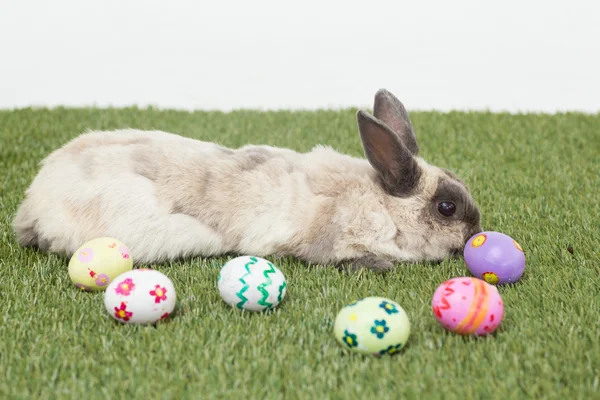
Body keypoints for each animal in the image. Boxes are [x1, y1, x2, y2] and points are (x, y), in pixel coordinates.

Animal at [12, 88, 482, 270]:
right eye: (447, 208)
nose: (477, 232)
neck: (380, 201)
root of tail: (33, 208)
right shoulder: (332, 244)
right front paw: (381, 265)